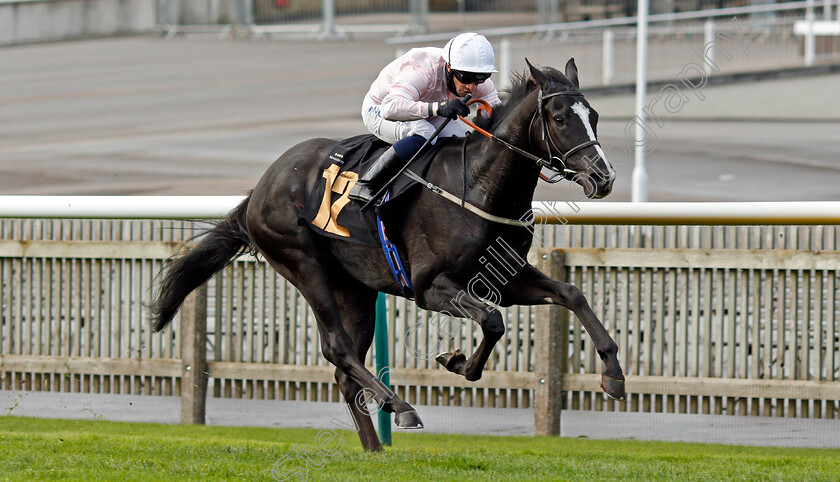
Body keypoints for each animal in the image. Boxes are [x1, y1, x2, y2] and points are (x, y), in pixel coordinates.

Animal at [149, 59, 624, 452]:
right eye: (560, 118)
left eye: (595, 116)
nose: (603, 178)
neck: (478, 184)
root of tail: (261, 187)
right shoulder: (431, 288)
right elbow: (492, 321)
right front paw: (457, 362)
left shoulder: (503, 279)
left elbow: (571, 294)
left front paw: (614, 375)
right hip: (304, 265)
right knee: (338, 349)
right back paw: (401, 408)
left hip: (355, 288)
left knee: (345, 369)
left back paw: (374, 449)